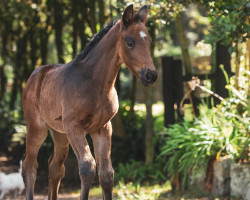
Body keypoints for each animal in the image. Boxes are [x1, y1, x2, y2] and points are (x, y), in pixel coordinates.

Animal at [22, 4, 157, 200]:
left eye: (149, 41)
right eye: (130, 41)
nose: (151, 75)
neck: (95, 83)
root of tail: (35, 74)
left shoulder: (103, 128)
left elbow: (107, 173)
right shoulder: (74, 126)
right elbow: (87, 167)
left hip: (60, 134)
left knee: (55, 168)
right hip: (37, 128)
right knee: (29, 166)